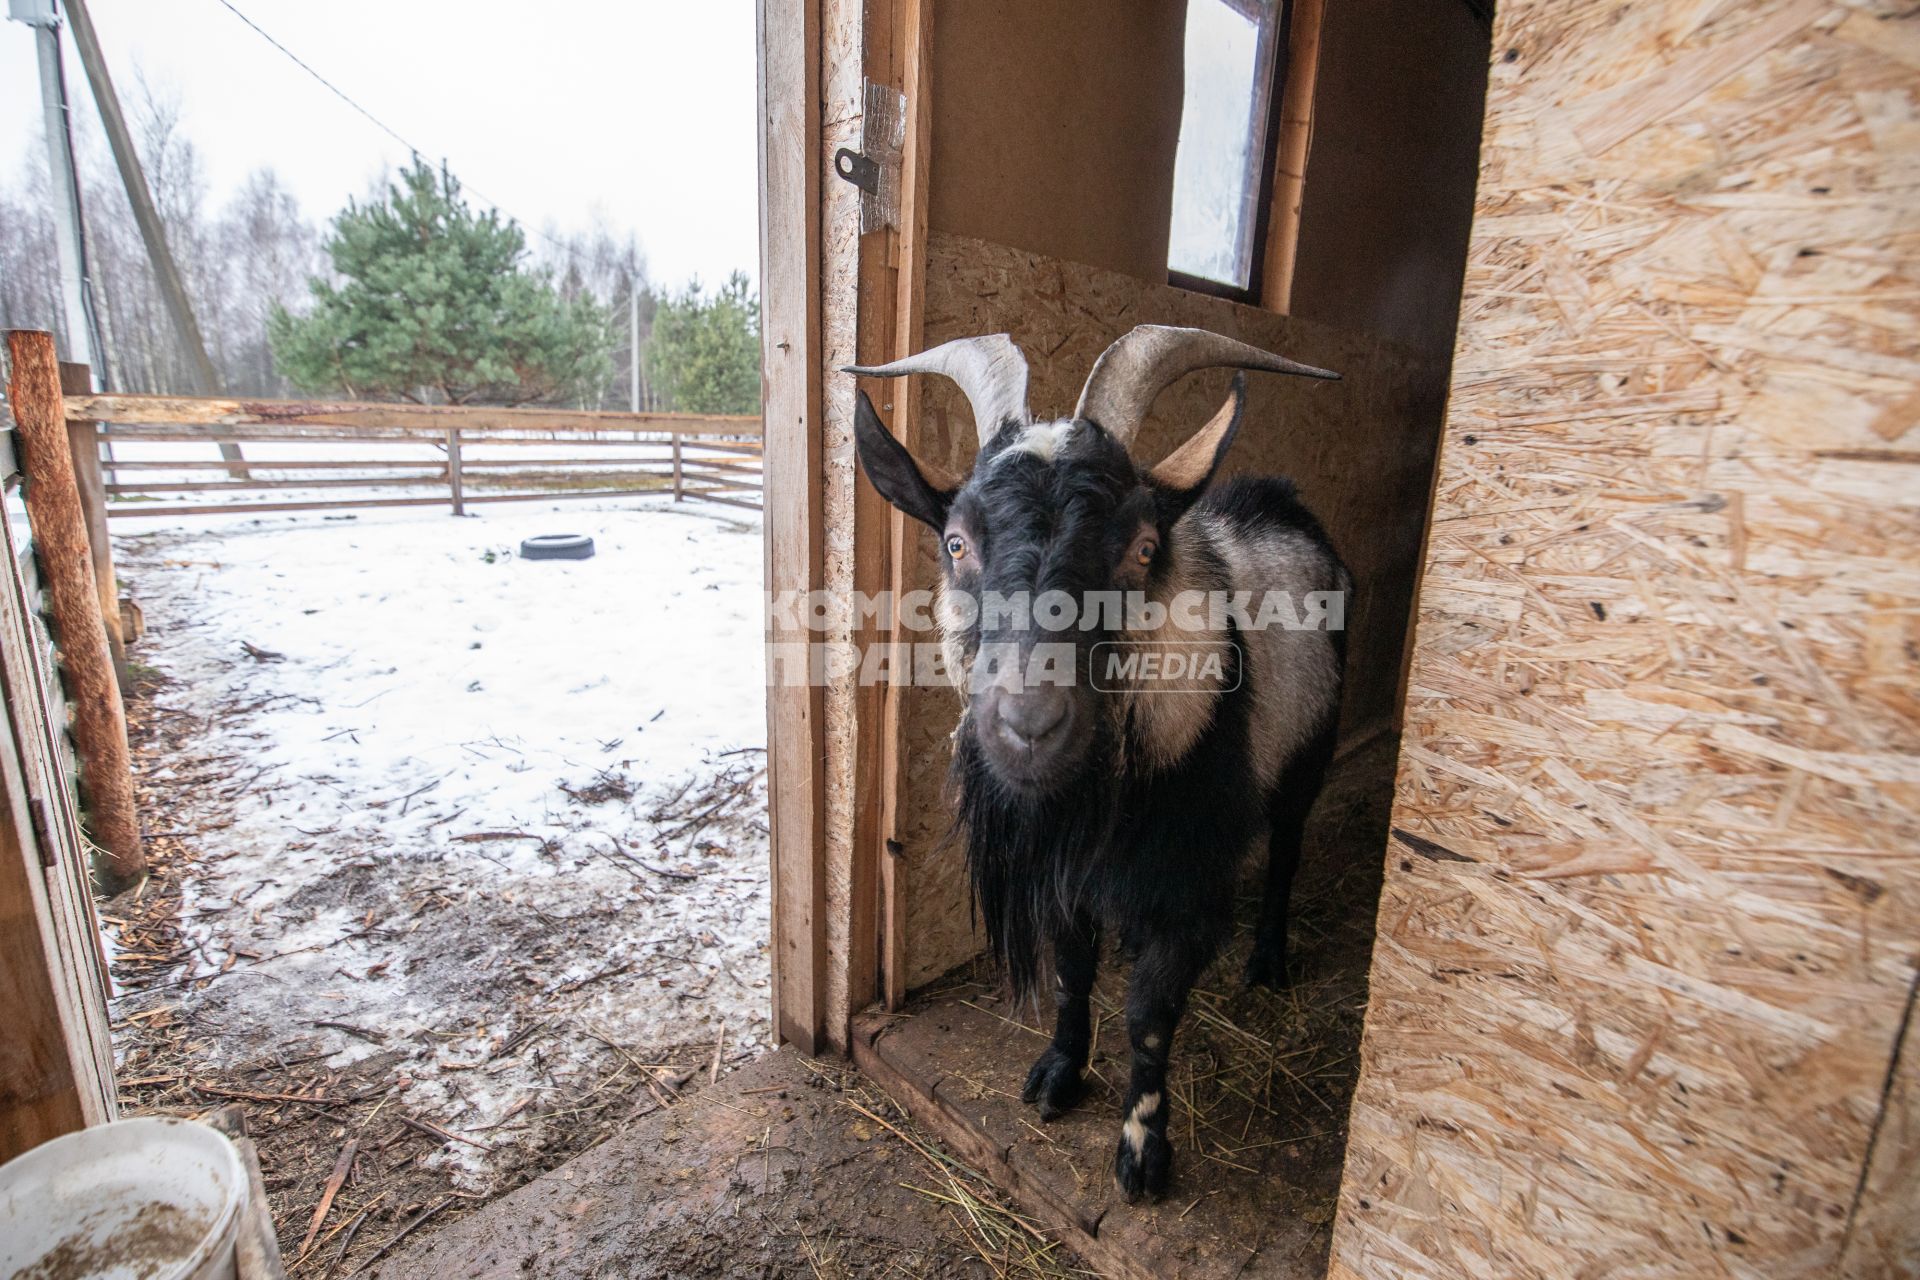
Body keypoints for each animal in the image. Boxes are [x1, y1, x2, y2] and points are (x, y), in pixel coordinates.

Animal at [848, 328, 1344, 1205]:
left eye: (1144, 548)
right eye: (955, 543)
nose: (1029, 726)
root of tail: (1281, 501)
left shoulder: (1186, 883)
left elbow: (1149, 1016)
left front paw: (1143, 1152)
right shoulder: (1066, 878)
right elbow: (1074, 971)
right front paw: (1057, 1073)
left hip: (1309, 751)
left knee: (1287, 850)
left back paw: (1268, 961)